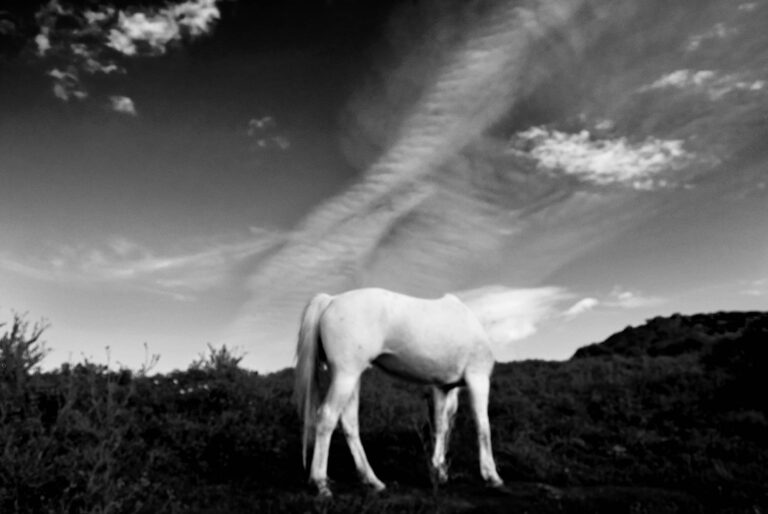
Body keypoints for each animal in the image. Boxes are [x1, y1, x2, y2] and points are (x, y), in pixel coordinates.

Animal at [294, 286, 504, 494]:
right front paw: (492, 476)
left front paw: (440, 471)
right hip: (345, 375)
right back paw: (321, 483)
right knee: (327, 417)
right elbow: (483, 426)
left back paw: (373, 481)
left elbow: (442, 427)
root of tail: (331, 300)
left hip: (350, 378)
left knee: (349, 423)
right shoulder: (478, 379)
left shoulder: (444, 388)